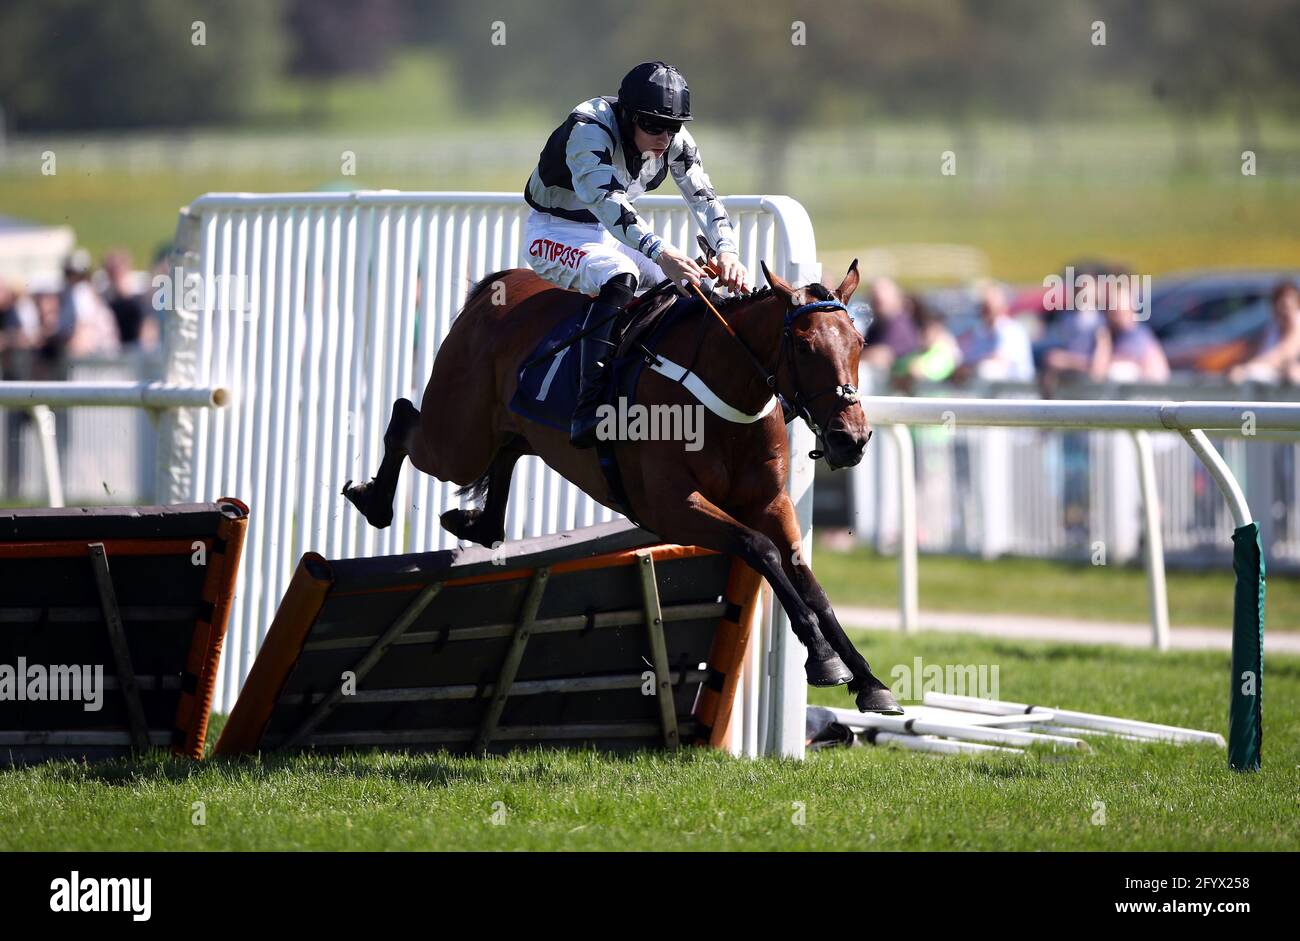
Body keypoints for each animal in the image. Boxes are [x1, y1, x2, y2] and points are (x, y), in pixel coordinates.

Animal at [340, 257, 899, 712]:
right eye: (803, 346)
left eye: (860, 343)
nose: (851, 438)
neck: (721, 396)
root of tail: (495, 288)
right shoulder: (672, 507)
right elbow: (757, 547)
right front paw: (823, 658)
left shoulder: (770, 501)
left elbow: (807, 579)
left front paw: (868, 680)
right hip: (458, 439)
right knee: (405, 418)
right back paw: (372, 499)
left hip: (508, 430)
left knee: (504, 454)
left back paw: (476, 523)